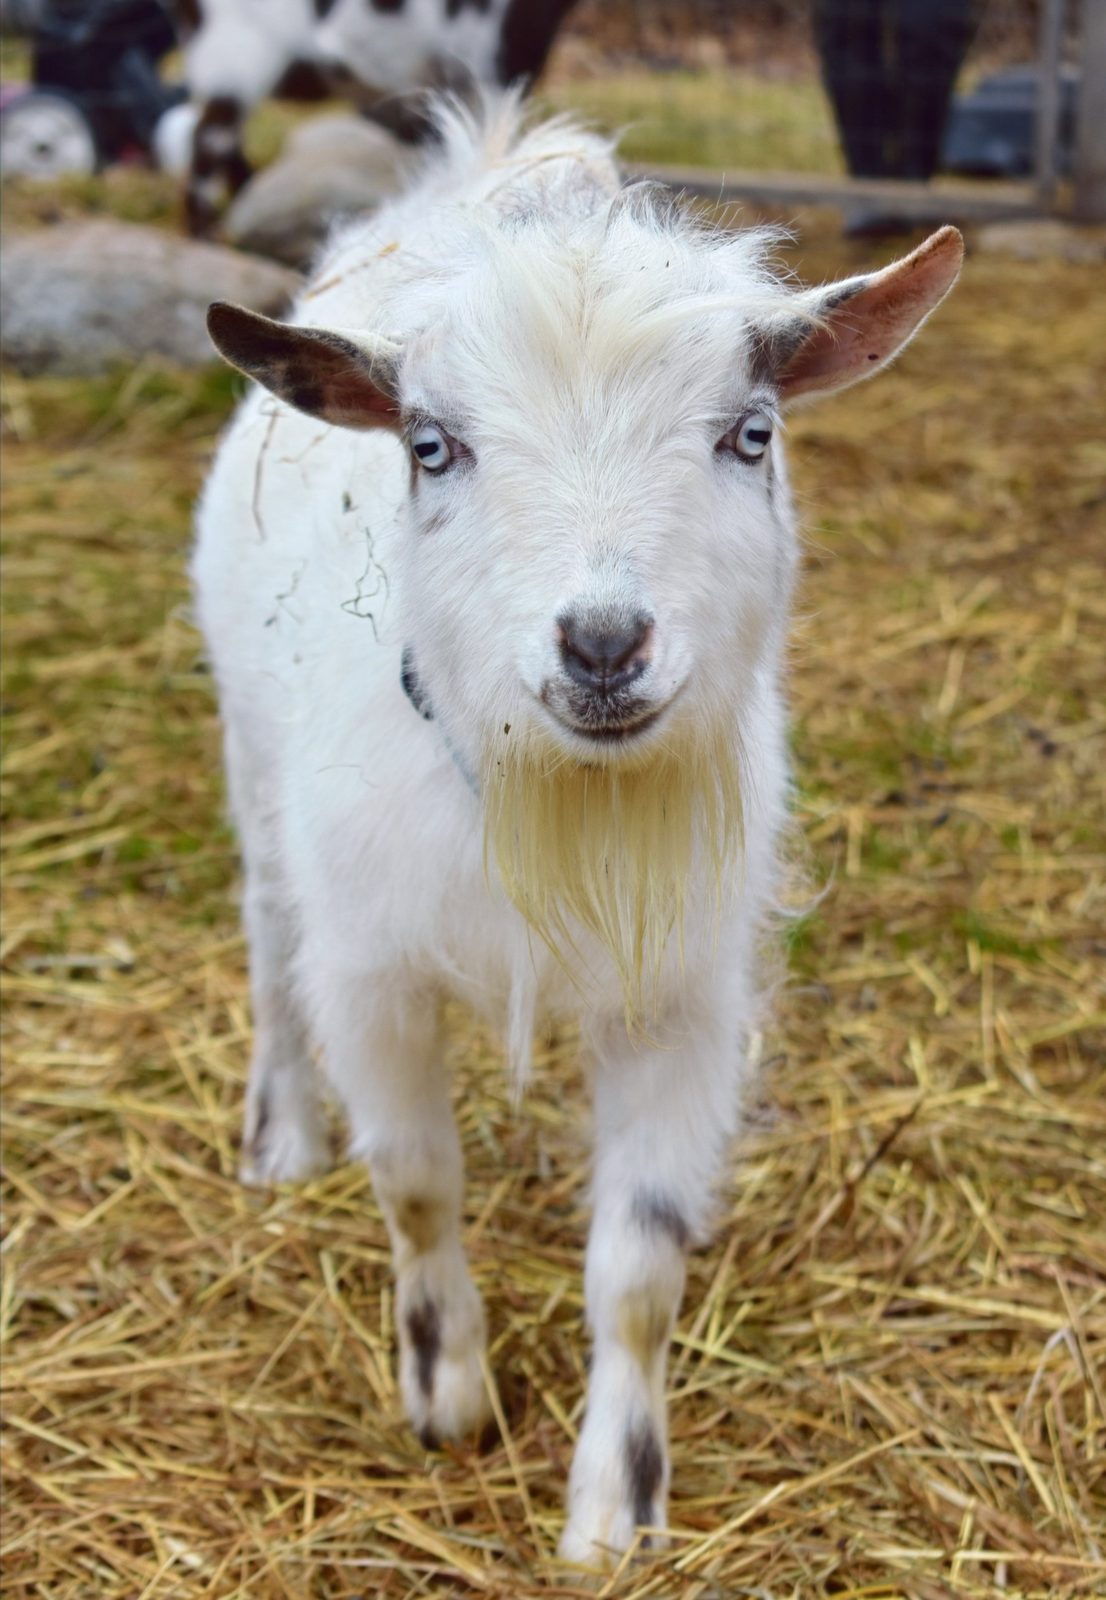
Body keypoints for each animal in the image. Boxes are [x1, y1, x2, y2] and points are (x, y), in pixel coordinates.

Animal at [195, 94, 961, 1568]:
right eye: (429, 444)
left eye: (750, 433)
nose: (602, 644)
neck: (551, 792)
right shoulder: (374, 973)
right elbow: (416, 1183)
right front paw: (445, 1392)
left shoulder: (679, 998)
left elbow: (640, 1268)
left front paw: (617, 1505)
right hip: (253, 763)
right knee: (265, 939)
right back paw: (282, 1137)